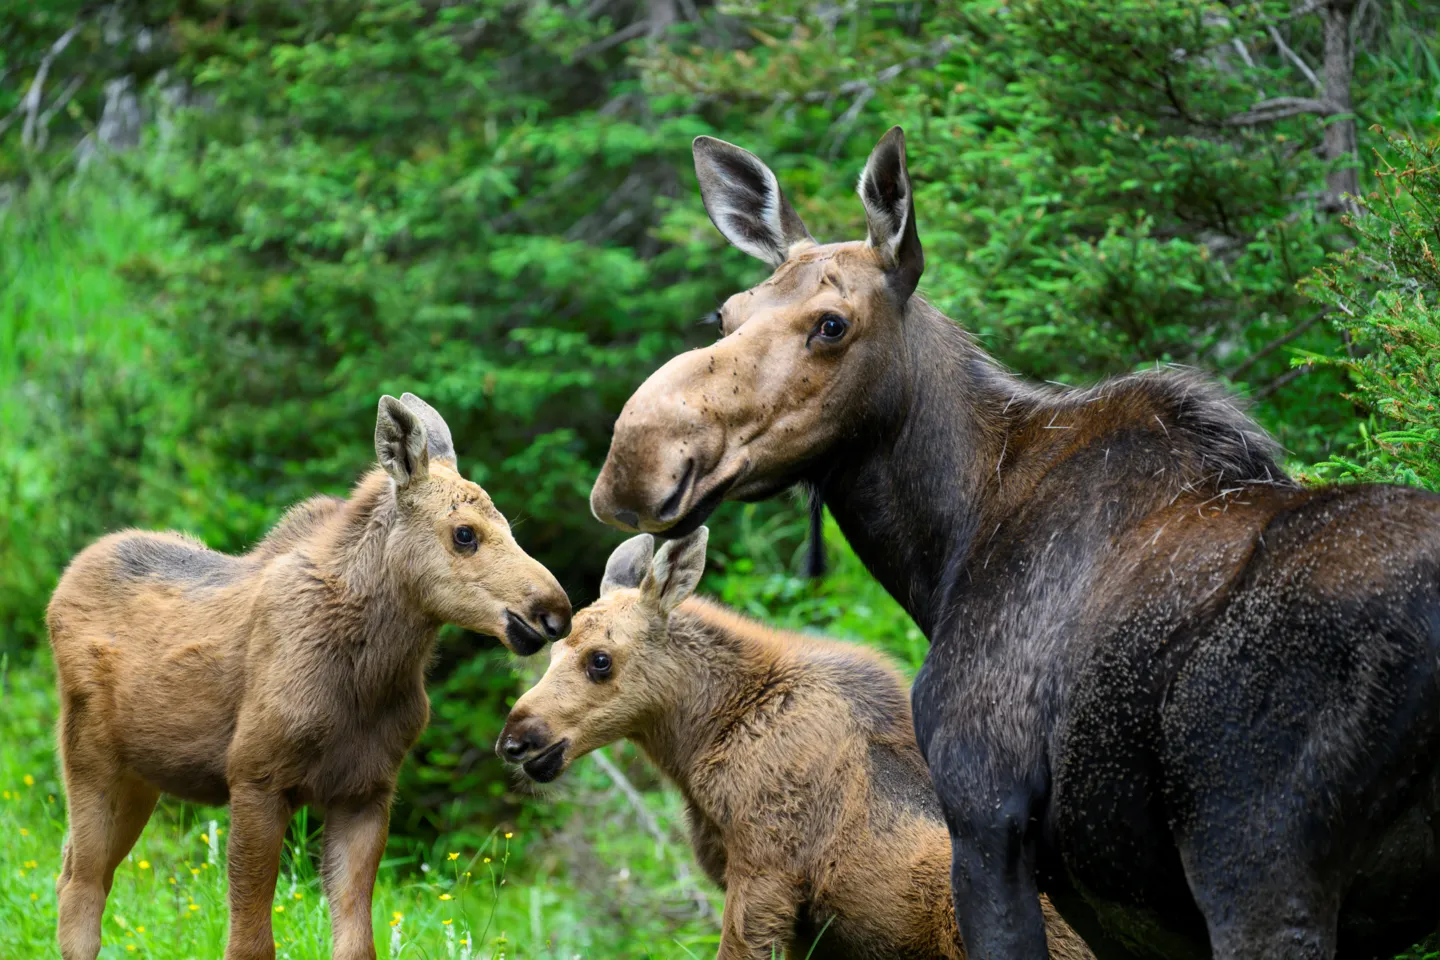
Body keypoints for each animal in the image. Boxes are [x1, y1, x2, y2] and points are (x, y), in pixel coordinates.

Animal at [46, 392, 572, 960]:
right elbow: (251, 941)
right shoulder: (255, 776)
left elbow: (356, 941)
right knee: (82, 883)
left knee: (74, 869)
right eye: (465, 534)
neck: (371, 676)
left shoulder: (366, 791)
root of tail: (63, 586)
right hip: (90, 755)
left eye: (511, 529)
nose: (555, 612)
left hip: (141, 774)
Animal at [587, 127, 1440, 959]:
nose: (638, 460)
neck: (946, 548)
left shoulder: (986, 817)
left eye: (831, 324)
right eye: (726, 315)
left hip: (1257, 867)